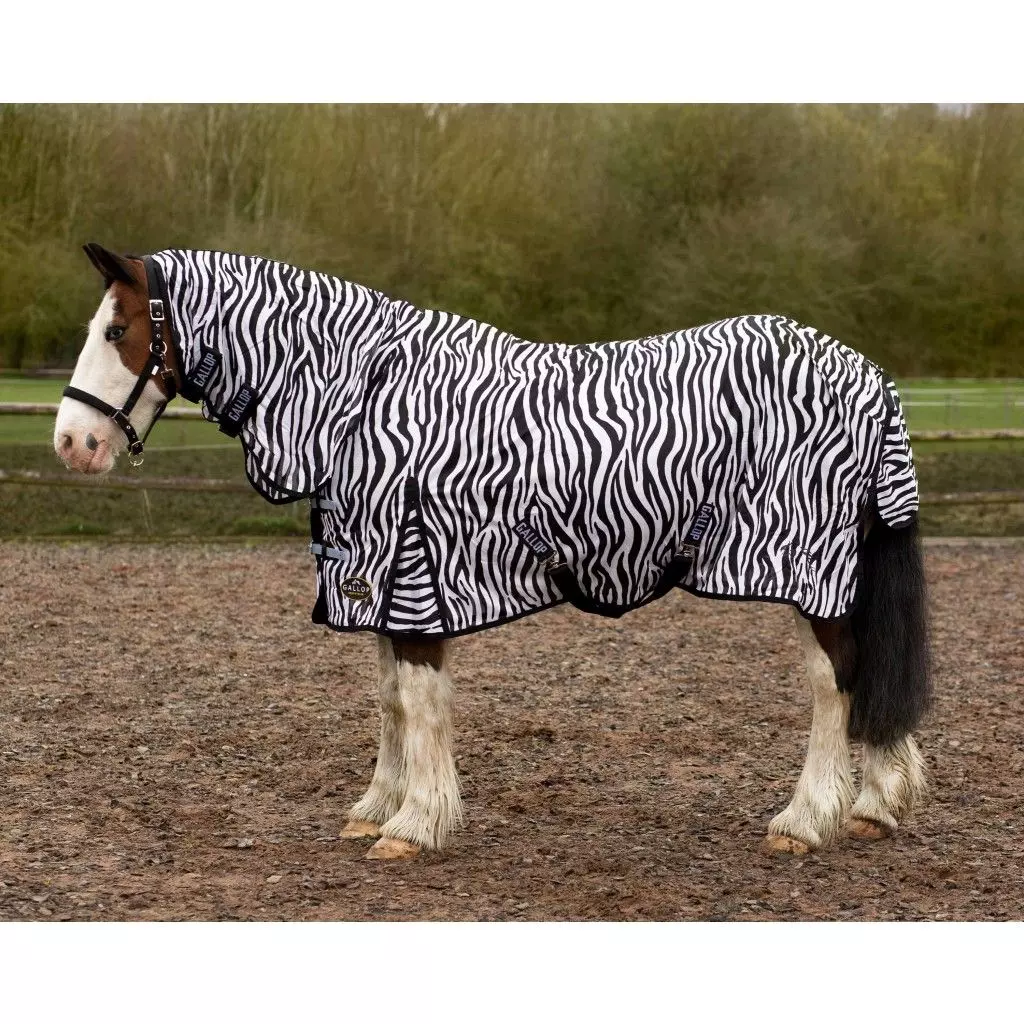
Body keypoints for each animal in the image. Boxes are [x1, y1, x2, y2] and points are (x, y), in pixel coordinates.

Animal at [55, 243, 931, 861]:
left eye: (117, 331)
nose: (72, 443)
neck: (363, 395)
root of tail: (867, 376)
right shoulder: (379, 578)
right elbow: (389, 698)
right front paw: (378, 806)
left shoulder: (414, 572)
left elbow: (418, 700)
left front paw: (414, 824)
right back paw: (874, 806)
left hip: (809, 571)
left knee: (834, 683)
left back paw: (806, 819)